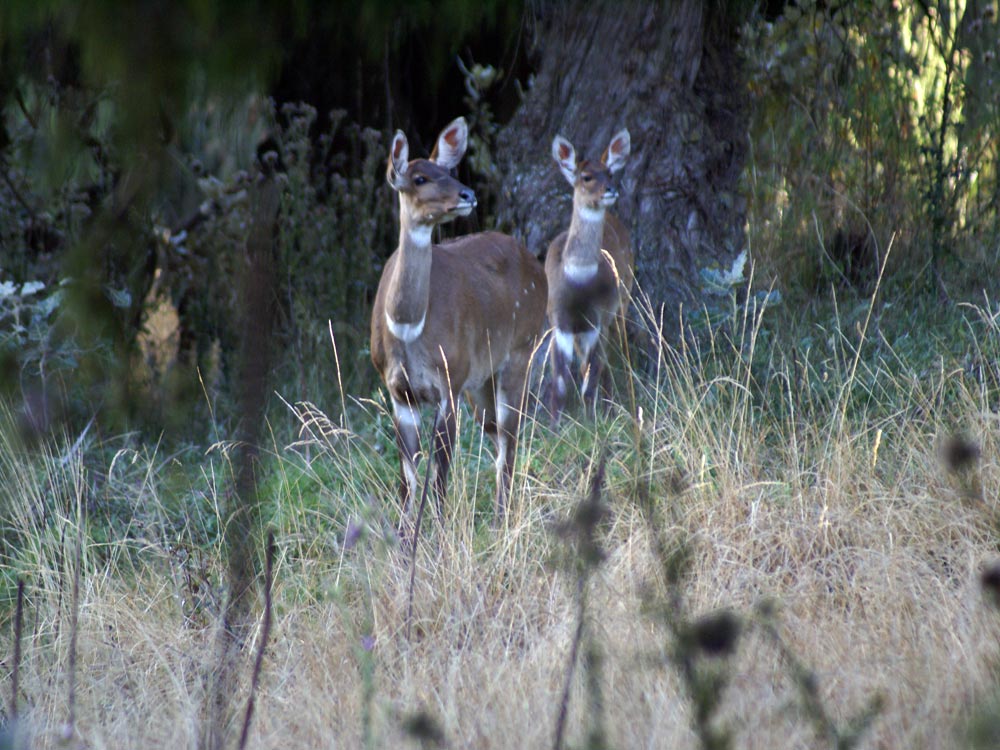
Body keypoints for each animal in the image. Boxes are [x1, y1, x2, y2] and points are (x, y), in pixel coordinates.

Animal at [370, 120, 548, 524]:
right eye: (419, 177)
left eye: (448, 172)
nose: (467, 194)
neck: (408, 328)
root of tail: (539, 266)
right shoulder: (398, 392)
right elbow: (407, 480)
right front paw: (405, 541)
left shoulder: (448, 382)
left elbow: (438, 475)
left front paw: (439, 536)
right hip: (480, 383)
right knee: (497, 436)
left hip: (520, 351)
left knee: (510, 439)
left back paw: (501, 520)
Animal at [544, 129, 636, 424]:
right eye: (586, 176)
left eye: (610, 173)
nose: (611, 190)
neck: (577, 281)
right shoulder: (558, 321)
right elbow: (560, 386)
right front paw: (555, 428)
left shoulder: (597, 319)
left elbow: (590, 382)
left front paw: (592, 424)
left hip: (620, 304)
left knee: (609, 361)